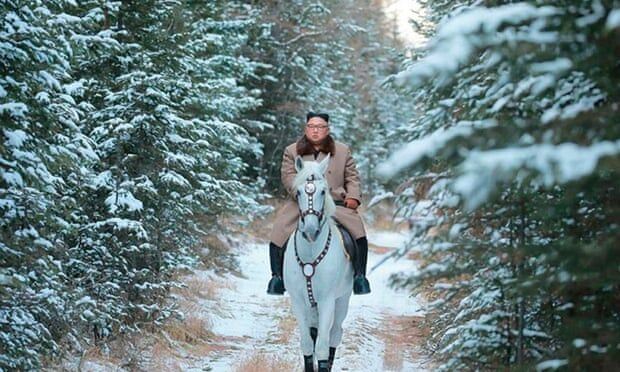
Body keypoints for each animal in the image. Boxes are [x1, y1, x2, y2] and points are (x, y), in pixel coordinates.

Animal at [282, 154, 354, 372]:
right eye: (298, 192)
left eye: (323, 191)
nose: (311, 230)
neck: (311, 253)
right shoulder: (298, 301)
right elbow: (307, 343)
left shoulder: (327, 300)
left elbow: (322, 347)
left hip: (342, 299)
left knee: (334, 334)